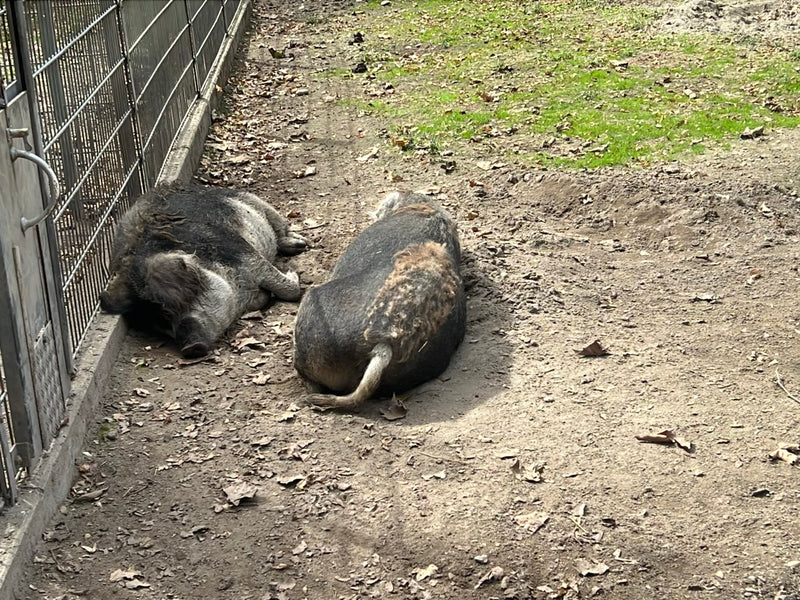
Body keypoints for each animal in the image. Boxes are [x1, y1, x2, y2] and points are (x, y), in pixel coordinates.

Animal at [100, 182, 307, 357]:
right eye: (160, 323)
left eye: (169, 309)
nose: (190, 349)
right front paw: (265, 296)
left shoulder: (242, 251)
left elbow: (288, 289)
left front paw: (291, 272)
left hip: (248, 198)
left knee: (279, 227)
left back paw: (300, 244)